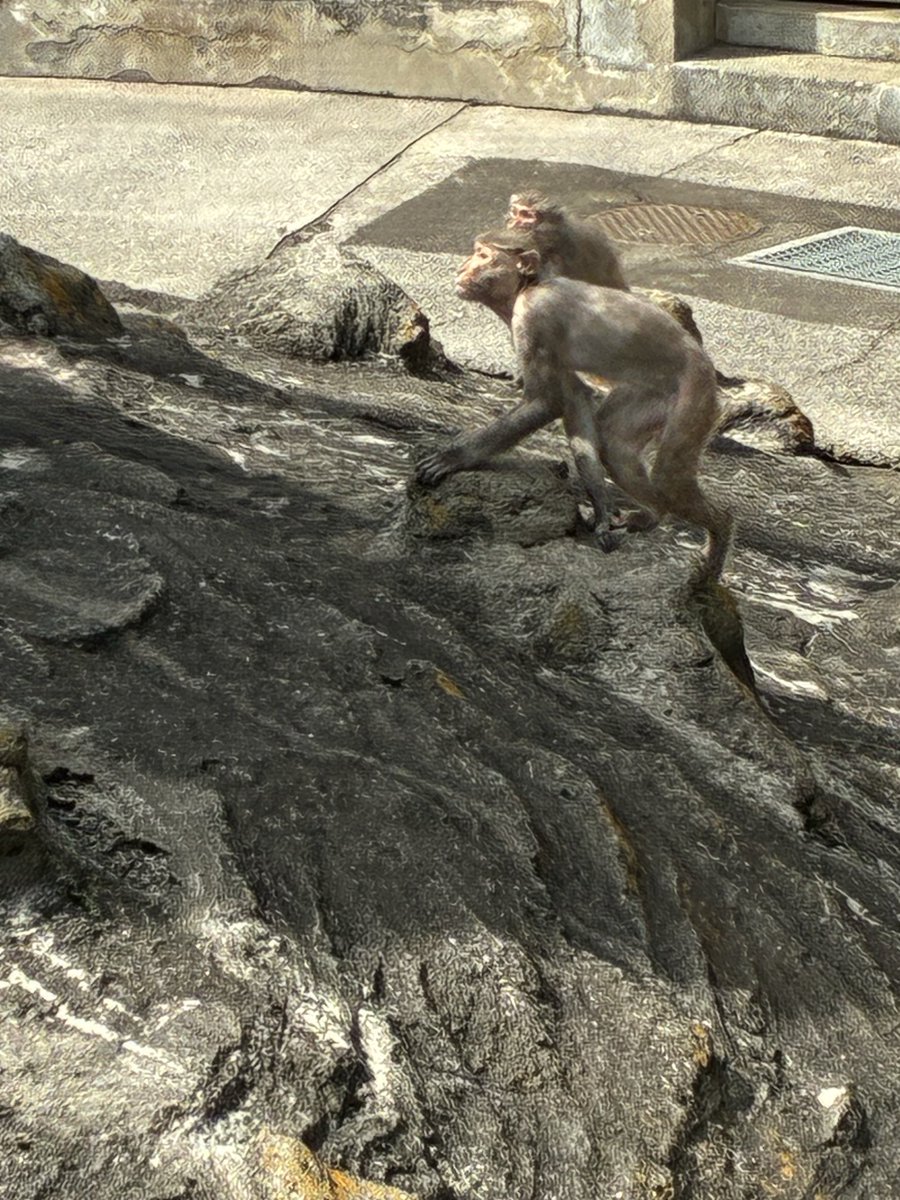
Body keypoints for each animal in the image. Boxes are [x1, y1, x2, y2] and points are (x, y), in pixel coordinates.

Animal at [416, 230, 733, 578]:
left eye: (484, 256)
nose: (463, 268)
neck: (527, 287)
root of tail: (703, 361)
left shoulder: (534, 317)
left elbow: (546, 402)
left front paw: (454, 457)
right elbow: (573, 397)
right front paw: (601, 508)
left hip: (696, 391)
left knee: (669, 477)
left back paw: (719, 528)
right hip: (655, 393)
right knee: (614, 443)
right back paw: (654, 513)